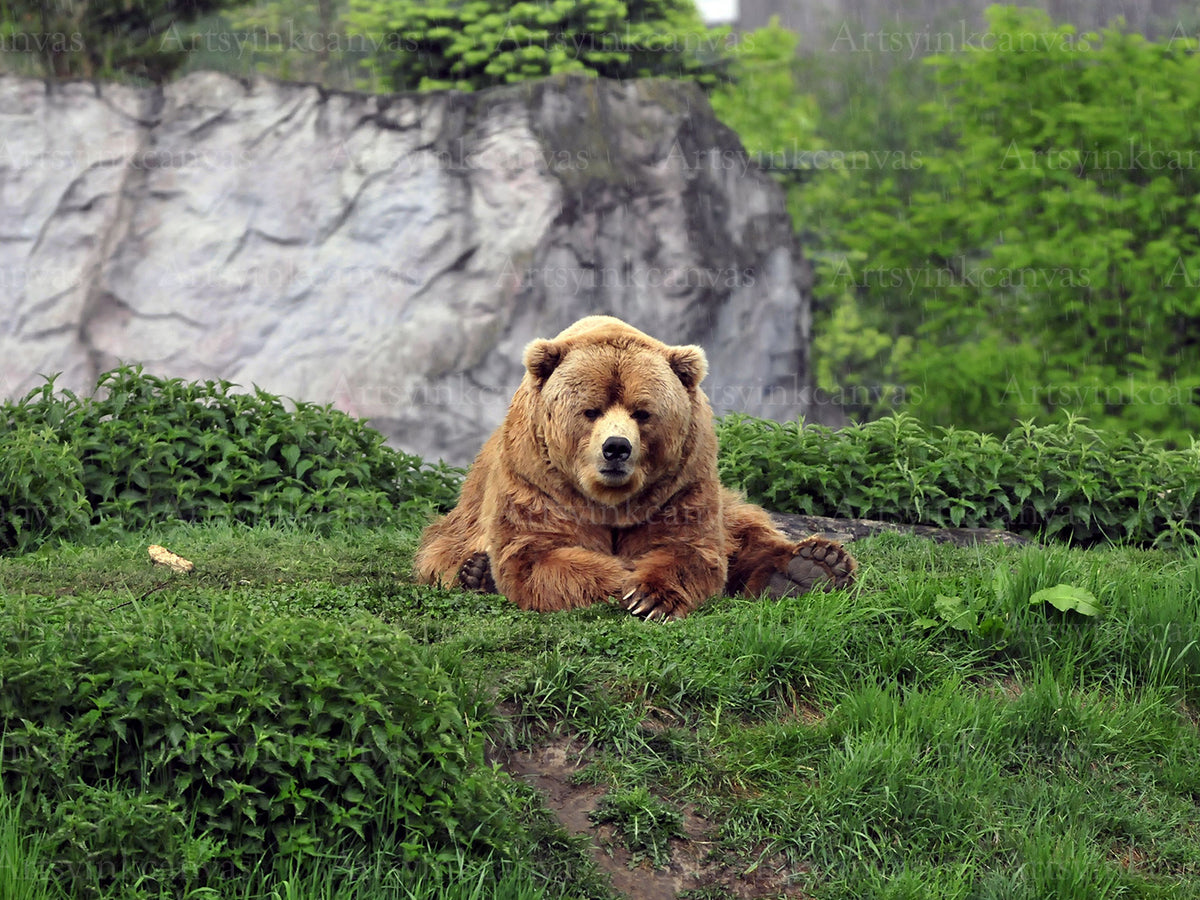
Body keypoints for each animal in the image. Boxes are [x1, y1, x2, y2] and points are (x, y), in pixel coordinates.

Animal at [414, 315, 856, 620]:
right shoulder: (537, 482)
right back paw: (475, 573)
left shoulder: (680, 484)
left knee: (747, 529)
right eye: (590, 410)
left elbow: (690, 548)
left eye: (642, 412)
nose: (616, 448)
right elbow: (538, 553)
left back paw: (812, 566)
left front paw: (650, 596)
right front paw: (620, 580)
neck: (609, 500)